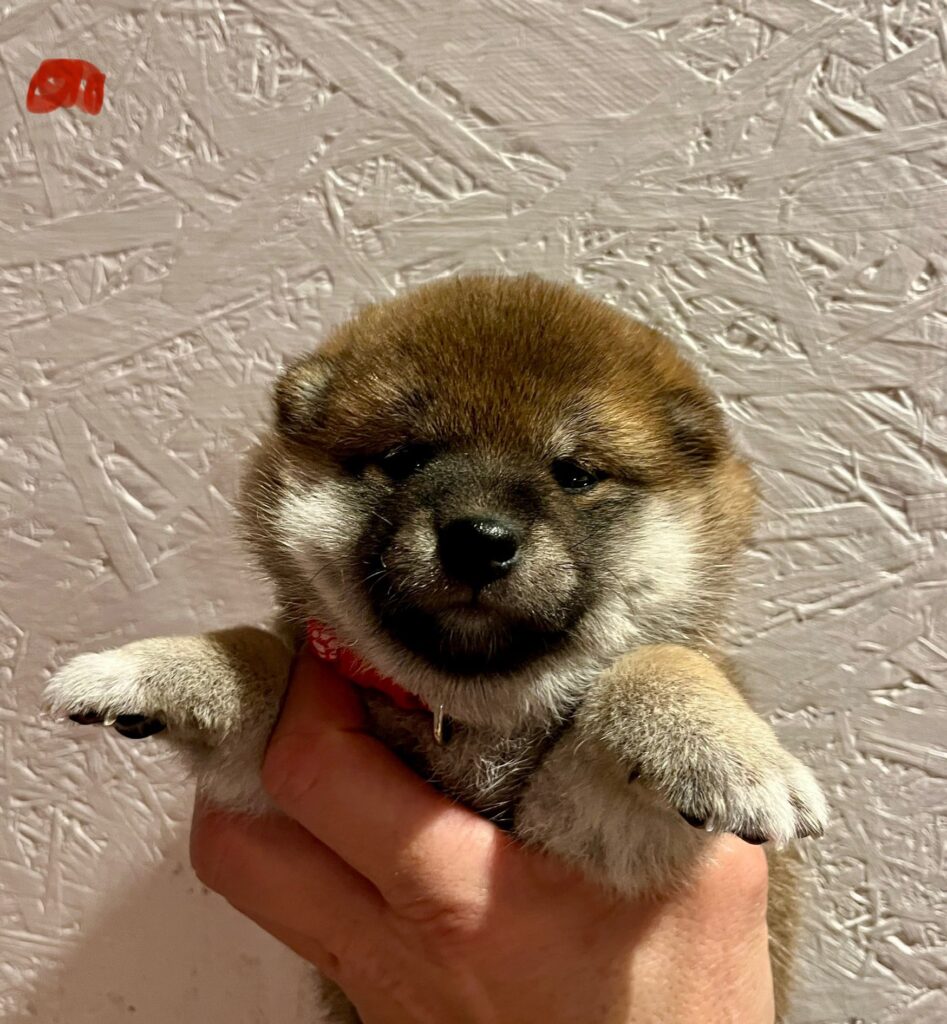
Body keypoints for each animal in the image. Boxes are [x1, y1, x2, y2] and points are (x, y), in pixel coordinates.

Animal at [46, 275, 828, 1021]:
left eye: (574, 474)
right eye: (403, 457)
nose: (477, 540)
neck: (471, 714)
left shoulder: (597, 842)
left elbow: (655, 661)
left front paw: (723, 748)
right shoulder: (273, 786)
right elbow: (261, 653)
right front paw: (157, 667)